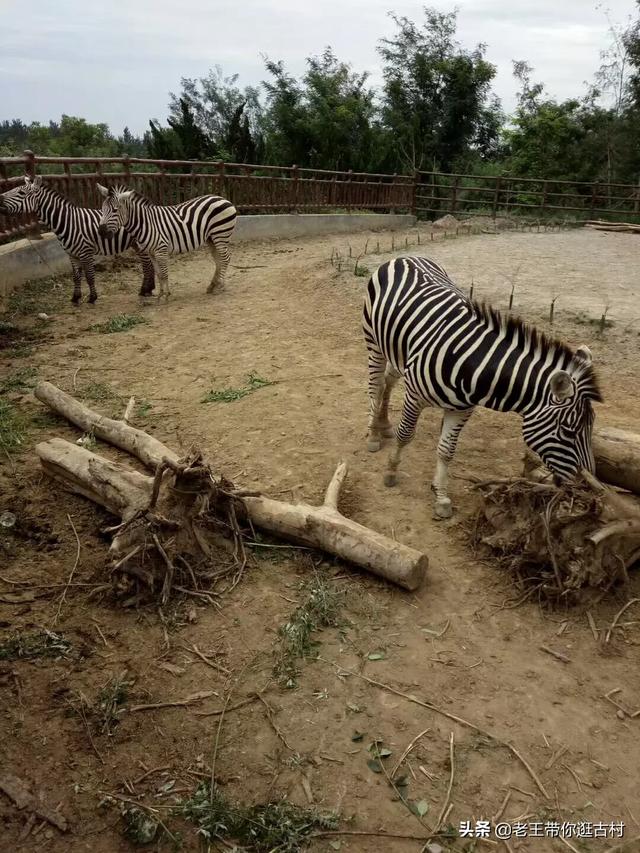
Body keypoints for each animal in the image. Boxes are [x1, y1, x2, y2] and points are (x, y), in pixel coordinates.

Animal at [0, 175, 155, 304]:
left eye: (21, 193)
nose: (0, 198)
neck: (68, 222)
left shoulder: (86, 252)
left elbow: (90, 276)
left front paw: (92, 298)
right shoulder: (71, 254)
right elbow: (76, 277)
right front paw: (75, 297)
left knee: (147, 264)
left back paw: (145, 290)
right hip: (137, 244)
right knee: (148, 263)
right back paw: (150, 288)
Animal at [97, 184, 240, 300]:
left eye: (115, 210)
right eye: (102, 209)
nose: (101, 232)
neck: (146, 223)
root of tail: (223, 199)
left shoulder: (161, 249)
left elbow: (164, 273)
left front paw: (166, 294)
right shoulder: (151, 252)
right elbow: (159, 274)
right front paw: (161, 294)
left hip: (220, 234)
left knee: (225, 258)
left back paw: (220, 286)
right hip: (211, 238)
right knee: (218, 260)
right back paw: (212, 285)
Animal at [362, 255, 604, 520]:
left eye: (590, 427)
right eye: (569, 431)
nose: (587, 489)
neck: (471, 364)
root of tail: (405, 257)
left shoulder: (462, 409)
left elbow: (446, 450)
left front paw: (441, 496)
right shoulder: (415, 396)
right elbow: (405, 435)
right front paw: (391, 472)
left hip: (398, 349)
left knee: (388, 380)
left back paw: (384, 424)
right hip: (373, 341)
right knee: (375, 386)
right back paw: (373, 434)